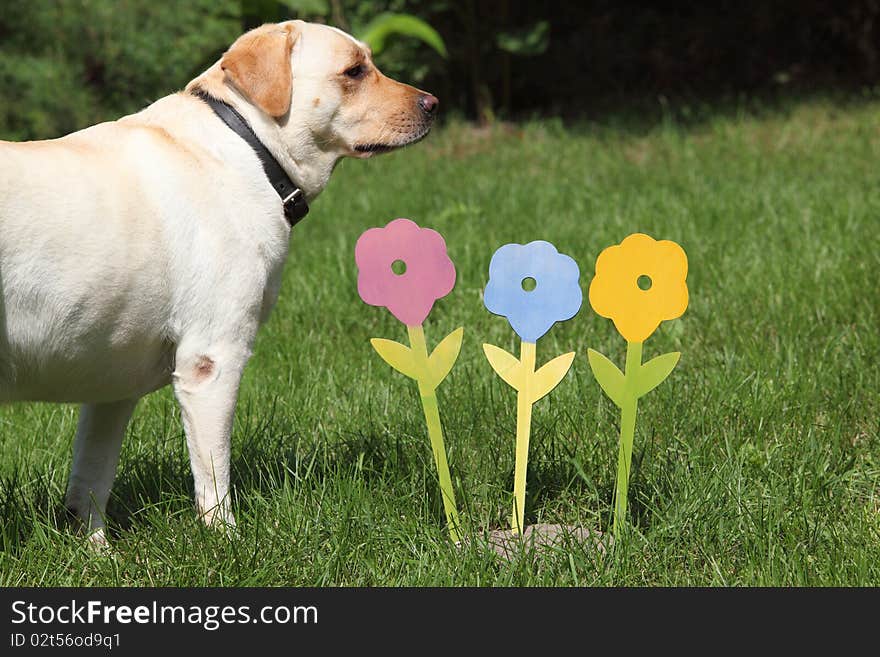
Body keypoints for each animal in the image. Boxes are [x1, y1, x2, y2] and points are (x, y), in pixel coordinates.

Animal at [0, 20, 438, 544]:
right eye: (354, 71)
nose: (433, 103)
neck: (250, 149)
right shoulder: (212, 360)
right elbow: (213, 477)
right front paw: (227, 541)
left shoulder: (111, 383)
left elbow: (90, 479)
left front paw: (96, 549)